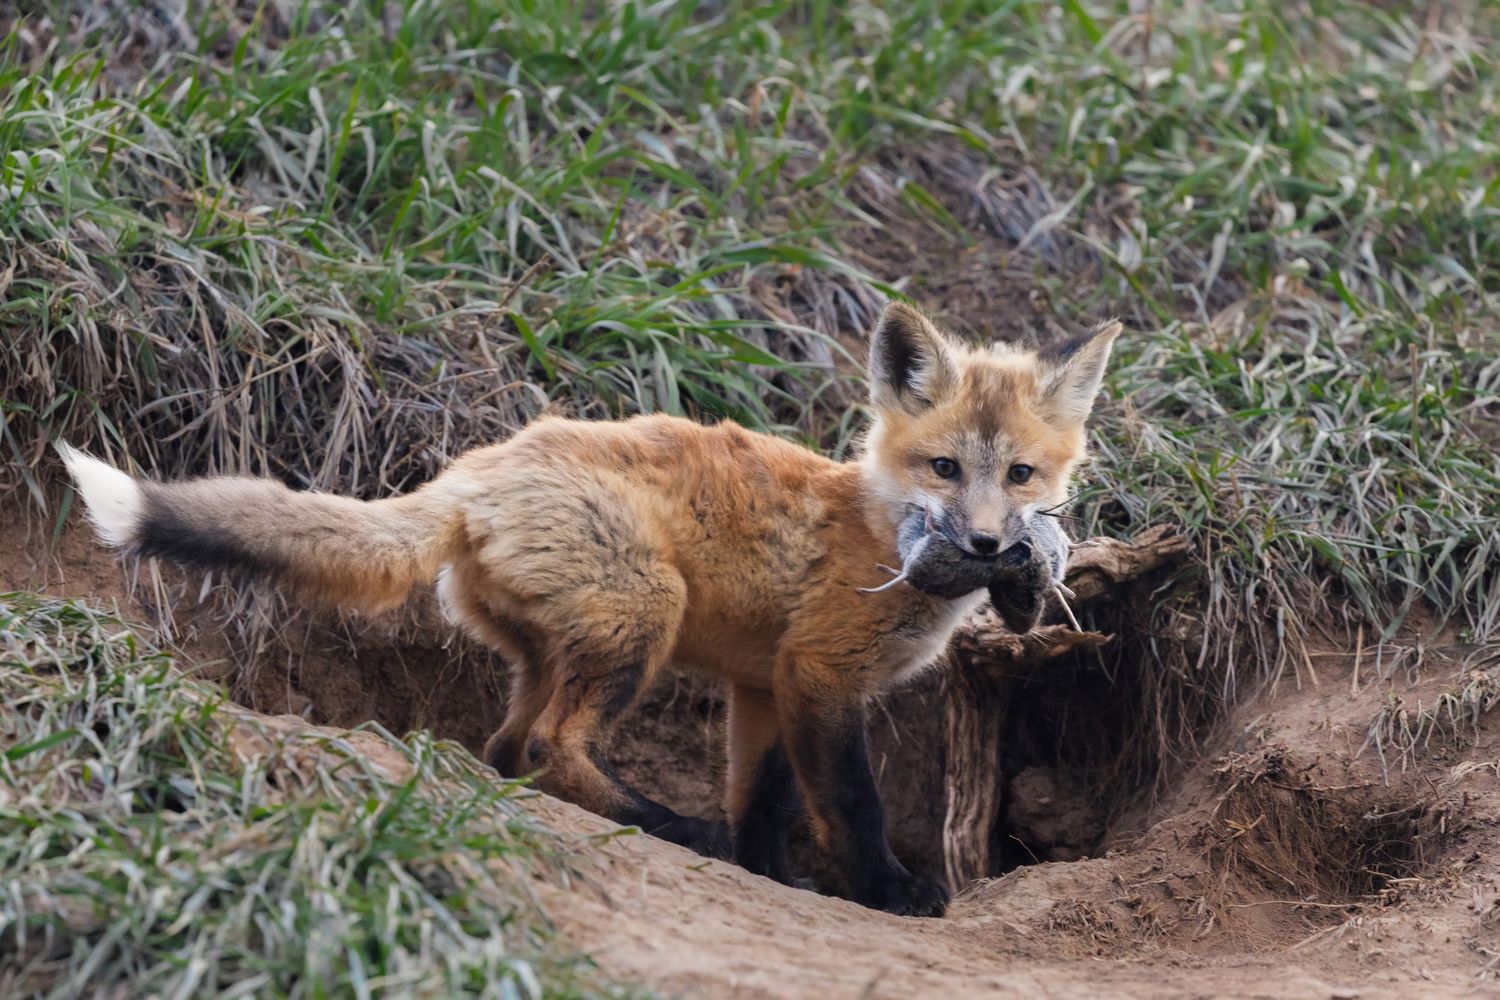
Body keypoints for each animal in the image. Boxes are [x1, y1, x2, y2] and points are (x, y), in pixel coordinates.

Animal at [61, 302, 1118, 917]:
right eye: (944, 467)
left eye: (1019, 475)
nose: (986, 548)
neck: (878, 525)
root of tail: (471, 471)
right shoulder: (818, 673)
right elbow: (851, 804)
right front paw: (888, 893)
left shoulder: (766, 687)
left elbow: (766, 803)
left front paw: (767, 874)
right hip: (644, 615)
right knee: (548, 746)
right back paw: (666, 827)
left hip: (558, 645)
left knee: (507, 748)